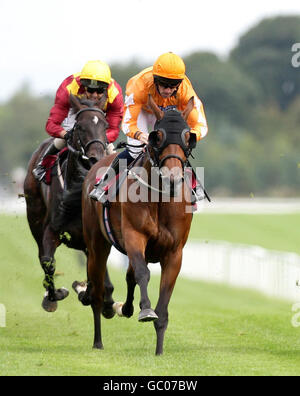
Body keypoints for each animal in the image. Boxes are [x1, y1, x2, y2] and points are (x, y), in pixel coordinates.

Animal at [23, 94, 115, 314]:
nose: (95, 158)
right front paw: (53, 296)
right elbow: (48, 261)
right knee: (41, 252)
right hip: (34, 215)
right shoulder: (53, 229)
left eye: (106, 125)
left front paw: (98, 297)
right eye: (80, 126)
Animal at [76, 94, 196, 354]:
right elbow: (143, 273)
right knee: (98, 292)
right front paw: (146, 310)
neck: (160, 199)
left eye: (187, 136)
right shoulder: (134, 236)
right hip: (97, 245)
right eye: (157, 137)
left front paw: (159, 350)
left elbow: (163, 298)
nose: (173, 179)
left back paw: (127, 308)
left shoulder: (174, 252)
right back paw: (98, 340)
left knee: (128, 276)